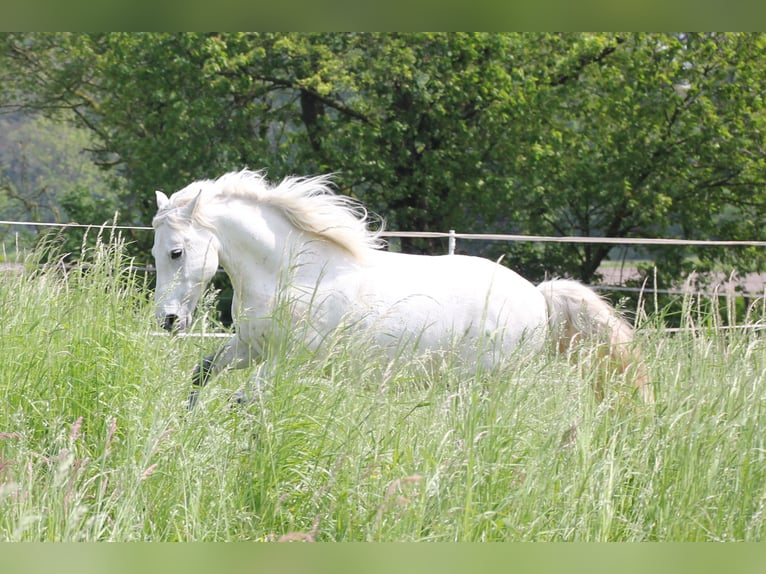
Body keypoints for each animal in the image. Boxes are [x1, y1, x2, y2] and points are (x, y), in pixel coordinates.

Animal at [151, 169, 653, 409]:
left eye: (175, 252)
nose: (169, 321)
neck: (294, 276)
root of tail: (538, 296)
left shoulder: (290, 362)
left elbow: (242, 402)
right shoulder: (250, 349)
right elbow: (200, 376)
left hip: (486, 379)